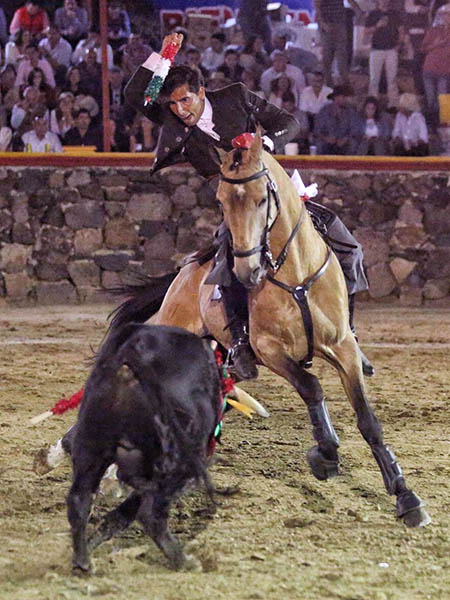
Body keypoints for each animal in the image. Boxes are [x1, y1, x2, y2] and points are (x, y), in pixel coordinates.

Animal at [111, 131, 430, 528]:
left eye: (263, 198)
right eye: (221, 200)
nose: (247, 271)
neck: (295, 275)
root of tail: (182, 276)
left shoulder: (343, 349)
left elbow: (367, 419)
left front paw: (405, 496)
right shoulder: (271, 350)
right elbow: (311, 386)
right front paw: (325, 454)